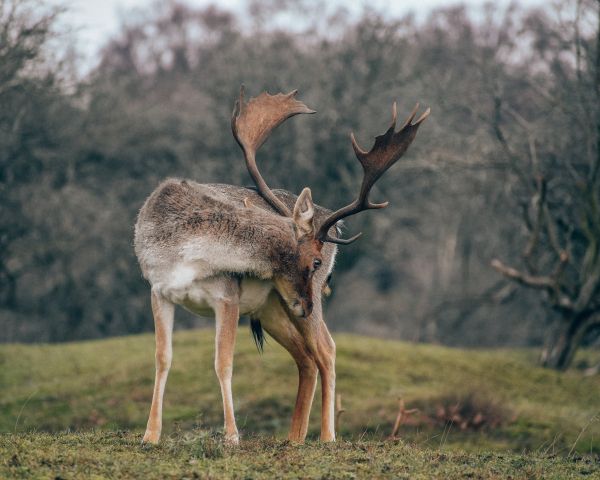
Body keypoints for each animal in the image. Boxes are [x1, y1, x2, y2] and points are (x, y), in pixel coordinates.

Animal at [134, 84, 428, 444]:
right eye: (314, 260)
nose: (307, 304)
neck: (184, 254)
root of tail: (332, 224)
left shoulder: (226, 296)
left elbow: (223, 362)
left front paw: (232, 437)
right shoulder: (158, 290)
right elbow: (162, 359)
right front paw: (150, 436)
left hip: (285, 308)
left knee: (326, 350)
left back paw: (327, 438)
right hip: (272, 307)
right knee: (306, 357)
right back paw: (294, 438)